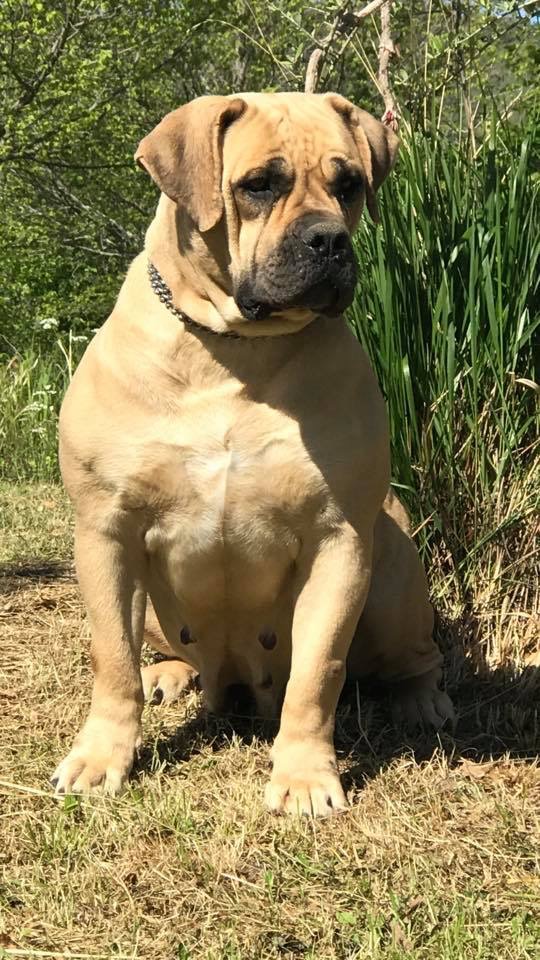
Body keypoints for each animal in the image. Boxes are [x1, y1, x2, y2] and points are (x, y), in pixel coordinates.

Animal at [52, 92, 454, 816]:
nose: (330, 239)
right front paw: (101, 759)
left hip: (391, 571)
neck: (233, 350)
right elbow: (111, 657)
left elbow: (319, 671)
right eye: (259, 185)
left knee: (412, 655)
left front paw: (306, 777)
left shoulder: (339, 539)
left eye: (350, 184)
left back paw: (421, 701)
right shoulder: (106, 533)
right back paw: (169, 674)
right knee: (154, 650)